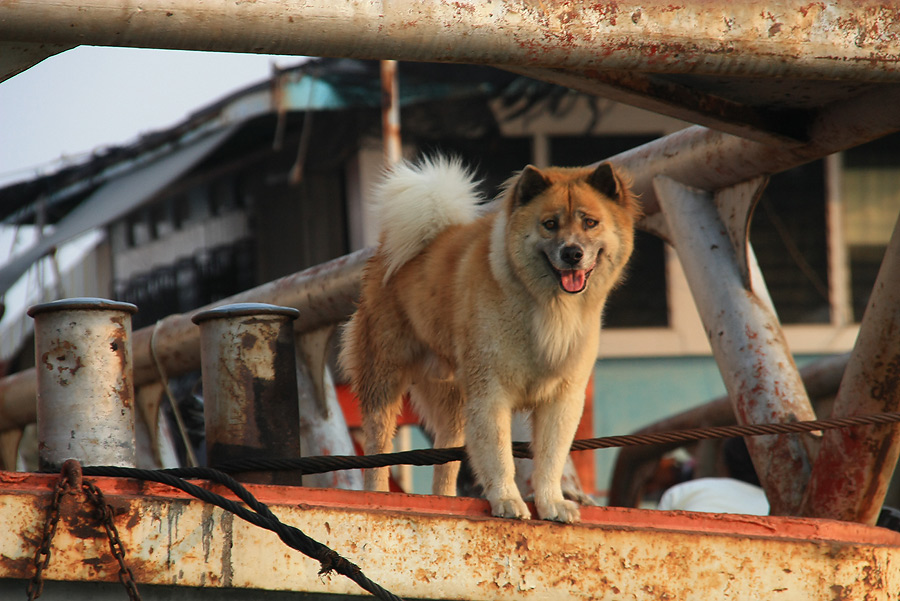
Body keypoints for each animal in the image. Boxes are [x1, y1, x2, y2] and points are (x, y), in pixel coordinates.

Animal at [340, 155, 640, 520]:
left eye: (591, 222)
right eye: (550, 224)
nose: (572, 253)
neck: (544, 305)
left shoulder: (561, 398)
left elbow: (550, 460)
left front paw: (552, 503)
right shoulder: (491, 393)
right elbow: (499, 456)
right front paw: (507, 501)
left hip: (453, 400)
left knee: (446, 461)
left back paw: (443, 501)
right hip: (384, 380)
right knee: (378, 450)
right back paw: (378, 494)